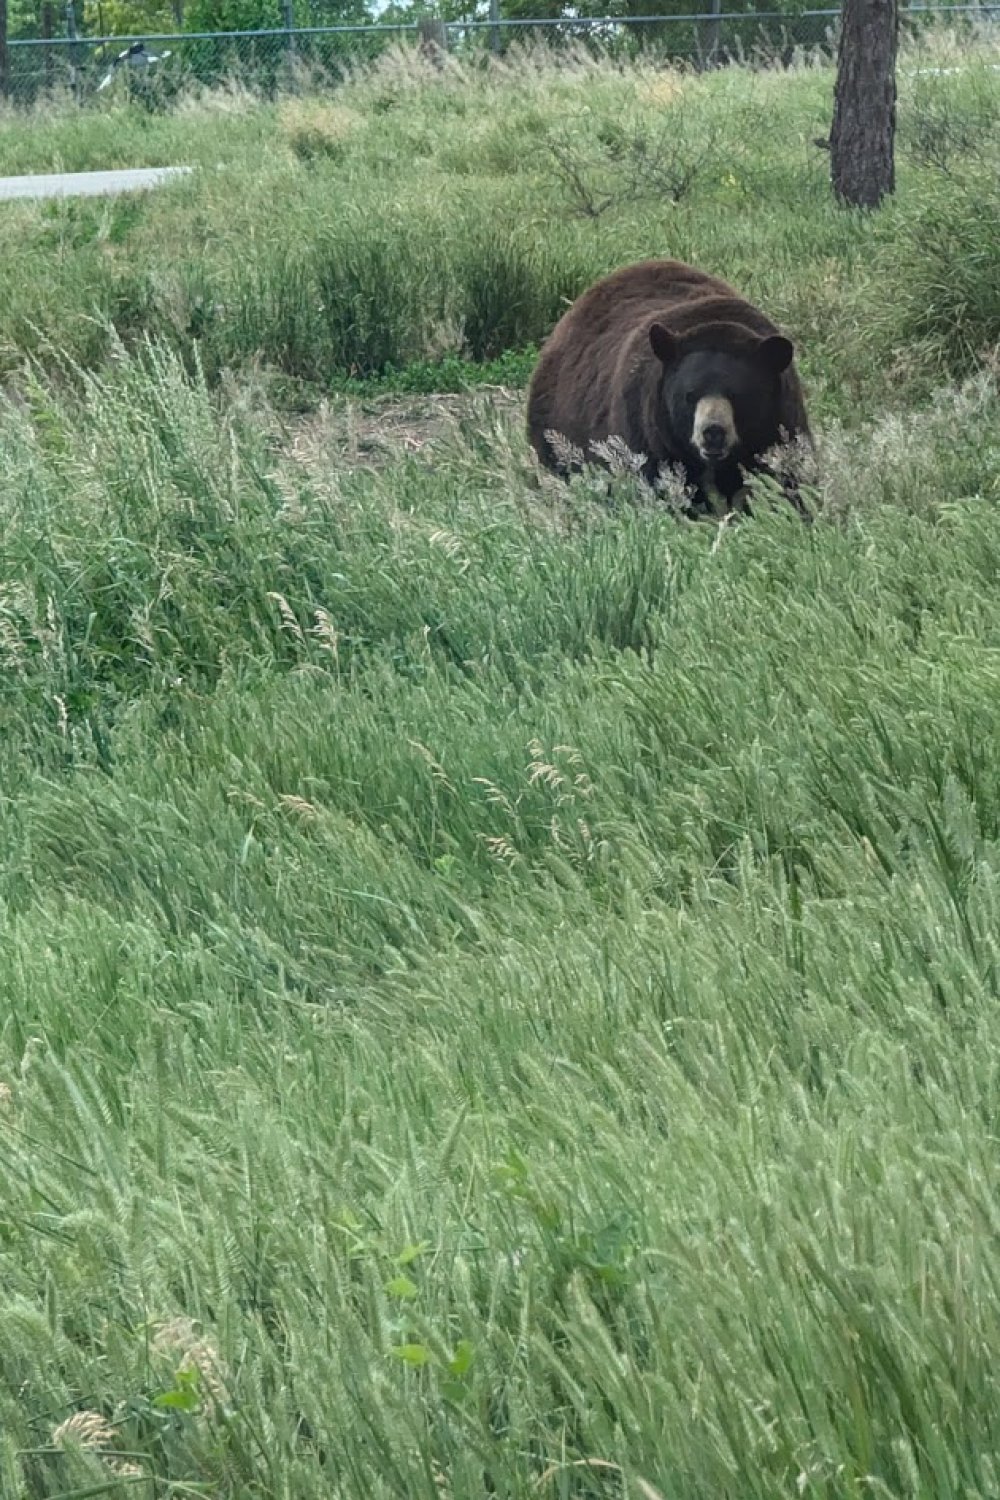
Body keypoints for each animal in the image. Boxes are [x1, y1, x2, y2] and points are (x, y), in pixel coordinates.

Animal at [524, 255, 815, 519]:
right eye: (690, 395)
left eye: (738, 395)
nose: (713, 432)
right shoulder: (649, 438)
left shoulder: (781, 427)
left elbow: (789, 482)